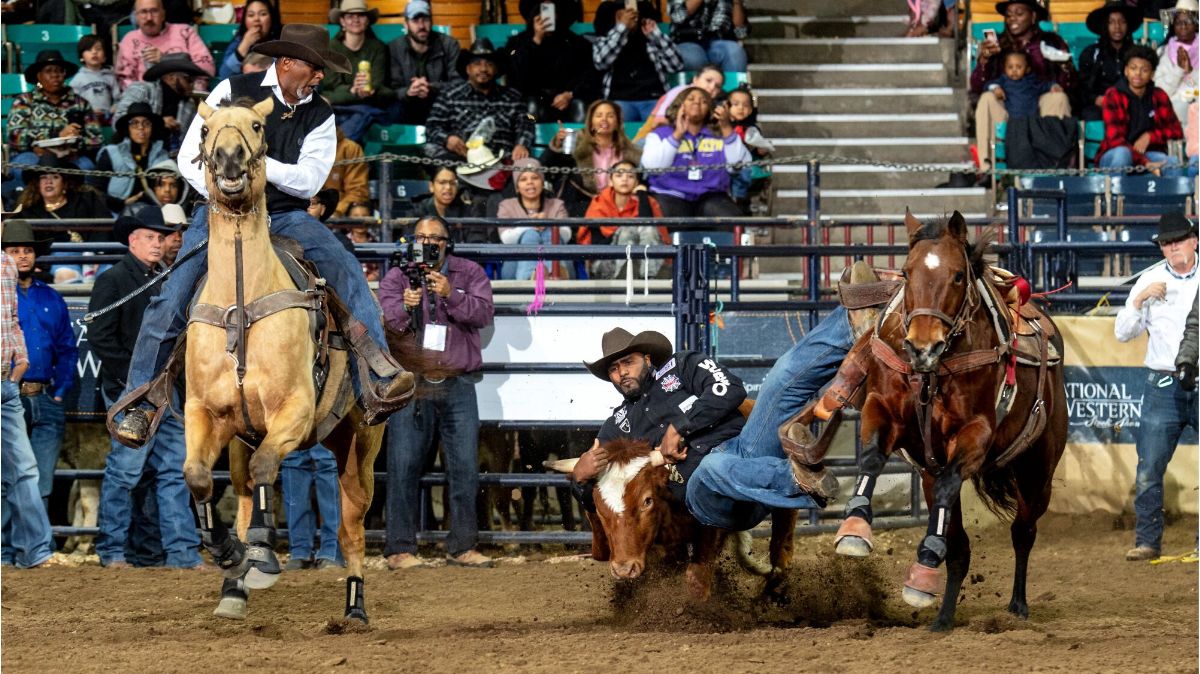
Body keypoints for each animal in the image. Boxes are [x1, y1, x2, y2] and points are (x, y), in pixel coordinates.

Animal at [180, 97, 384, 623]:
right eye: (206, 129)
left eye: (256, 125)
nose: (229, 159)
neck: (243, 301)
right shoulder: (204, 413)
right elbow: (199, 477)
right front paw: (230, 554)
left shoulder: (294, 410)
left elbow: (269, 465)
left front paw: (261, 552)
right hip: (242, 440)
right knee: (242, 490)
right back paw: (235, 585)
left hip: (360, 444)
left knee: (351, 524)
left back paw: (355, 606)